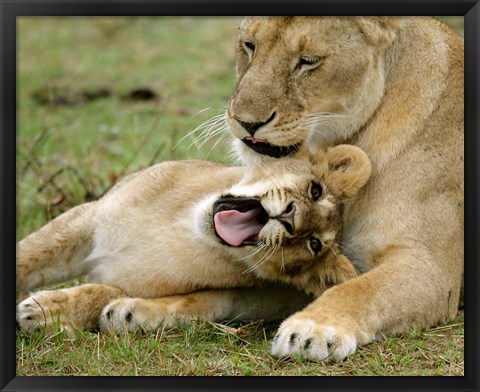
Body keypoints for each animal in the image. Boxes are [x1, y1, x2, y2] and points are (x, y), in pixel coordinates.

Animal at [16, 145, 372, 336]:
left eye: (314, 244)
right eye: (315, 190)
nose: (289, 218)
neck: (183, 228)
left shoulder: (127, 279)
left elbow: (99, 291)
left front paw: (43, 309)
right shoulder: (88, 217)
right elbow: (30, 253)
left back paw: (125, 315)